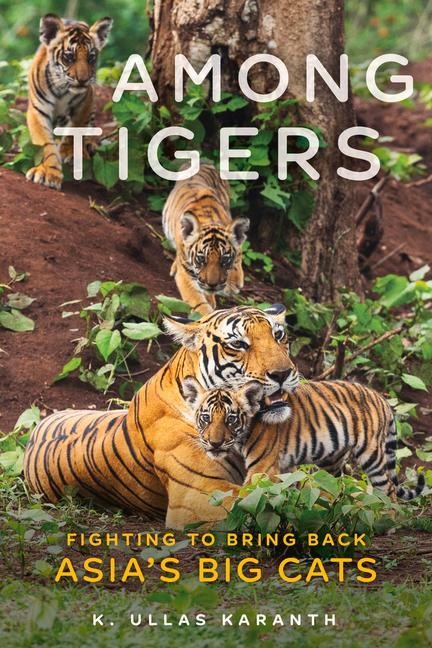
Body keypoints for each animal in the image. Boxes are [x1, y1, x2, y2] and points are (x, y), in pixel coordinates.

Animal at [26, 13, 112, 190]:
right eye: (69, 57)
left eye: (91, 58)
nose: (83, 80)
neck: (61, 88)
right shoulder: (38, 111)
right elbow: (45, 144)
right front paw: (49, 173)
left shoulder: (85, 103)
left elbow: (75, 130)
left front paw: (69, 152)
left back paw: (87, 146)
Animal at [162, 163, 250, 315]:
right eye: (202, 259)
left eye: (227, 260)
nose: (239, 286)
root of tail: (204, 162)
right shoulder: (185, 275)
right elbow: (199, 303)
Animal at [185, 380, 425, 501]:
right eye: (206, 418)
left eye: (231, 419)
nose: (215, 443)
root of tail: (380, 398)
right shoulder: (282, 468)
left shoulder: (262, 469)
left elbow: (246, 496)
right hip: (332, 460)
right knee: (335, 485)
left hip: (371, 454)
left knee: (389, 489)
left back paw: (387, 518)